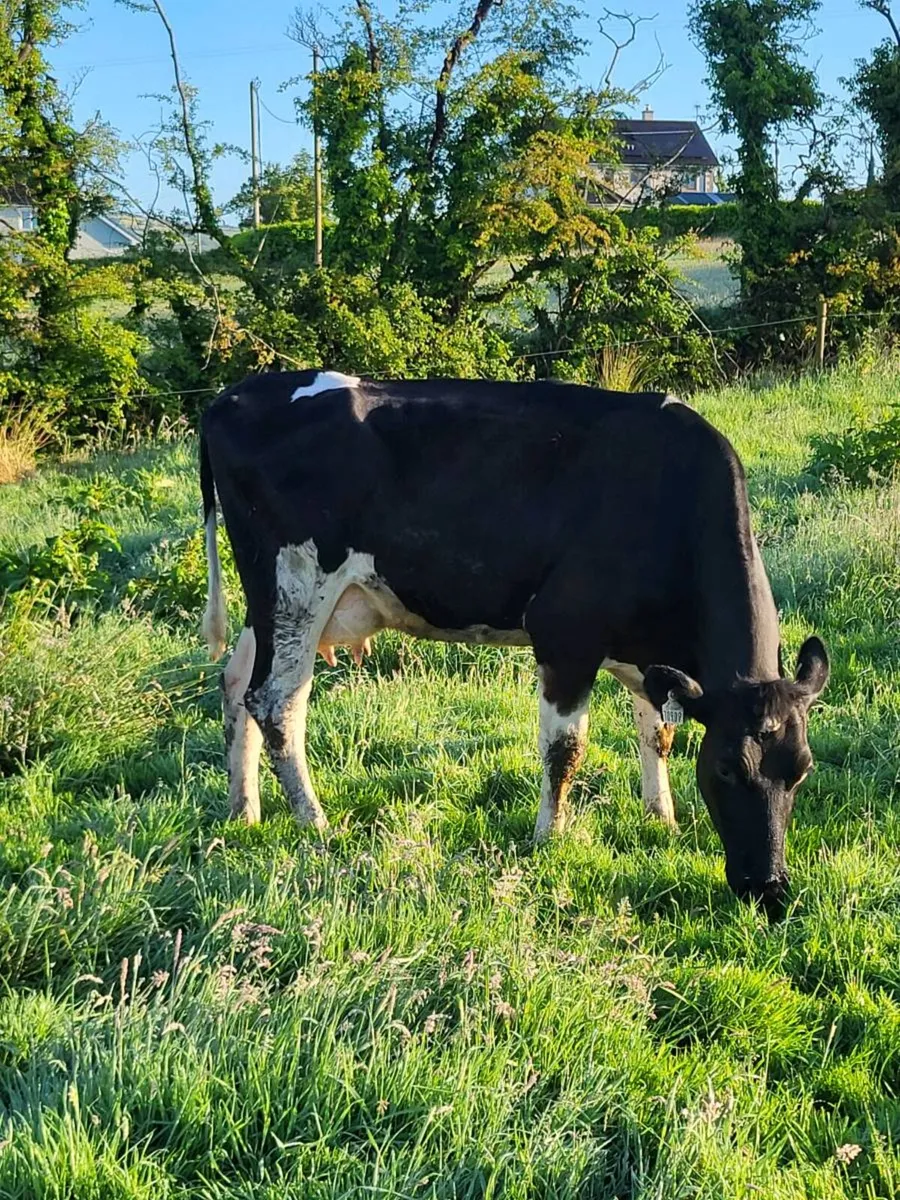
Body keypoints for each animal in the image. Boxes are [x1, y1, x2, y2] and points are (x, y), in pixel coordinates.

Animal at [200, 370, 829, 919]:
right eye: (725, 768)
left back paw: (244, 810)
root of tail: (234, 394)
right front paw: (549, 838)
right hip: (297, 585)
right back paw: (315, 824)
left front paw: (661, 818)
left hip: (268, 603)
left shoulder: (649, 656)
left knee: (236, 684)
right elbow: (565, 749)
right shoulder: (565, 636)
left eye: (801, 771)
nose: (769, 889)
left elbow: (659, 732)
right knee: (276, 701)